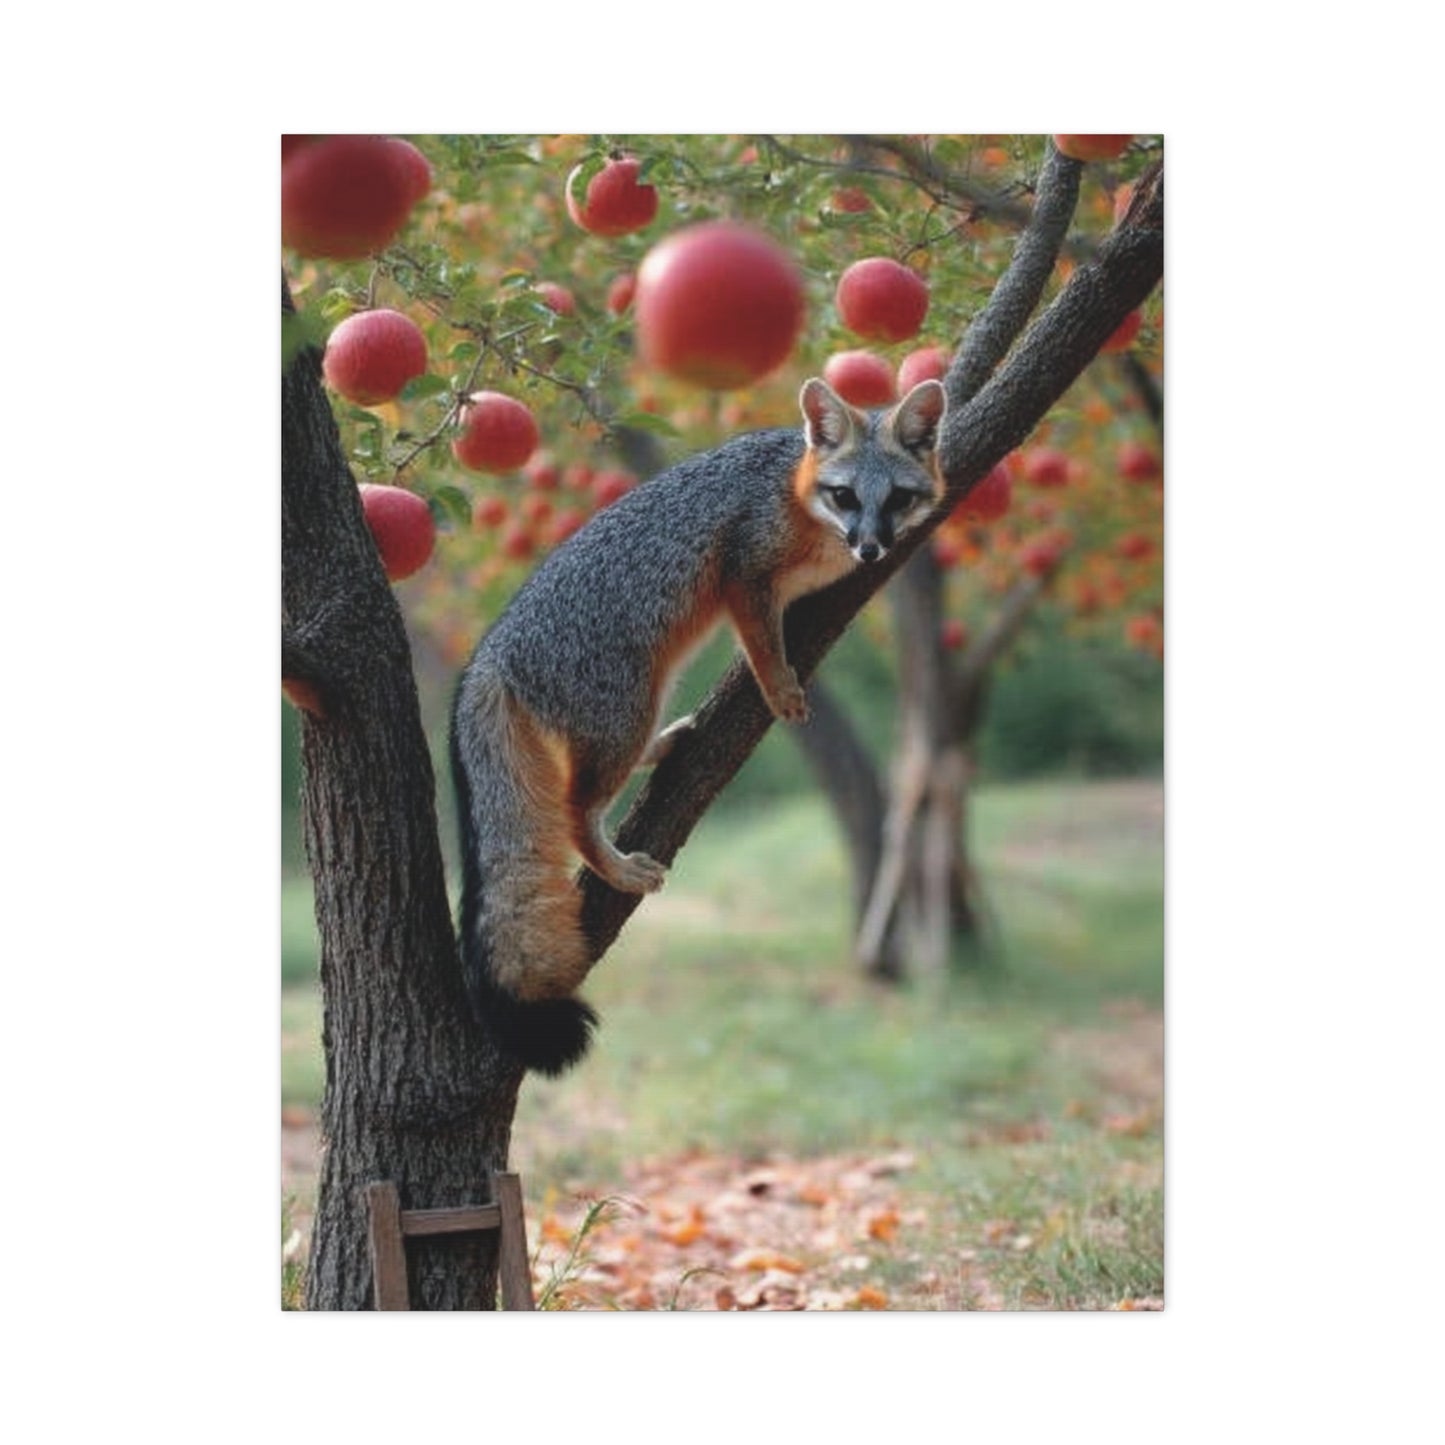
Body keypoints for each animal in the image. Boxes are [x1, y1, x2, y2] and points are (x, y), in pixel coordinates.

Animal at [450, 375, 948, 1075]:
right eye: (845, 496)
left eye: (898, 498)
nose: (870, 547)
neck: (794, 493)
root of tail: (491, 651)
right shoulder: (743, 572)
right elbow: (762, 646)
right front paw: (781, 688)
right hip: (627, 710)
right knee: (575, 810)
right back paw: (617, 867)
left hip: (640, 706)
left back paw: (671, 744)